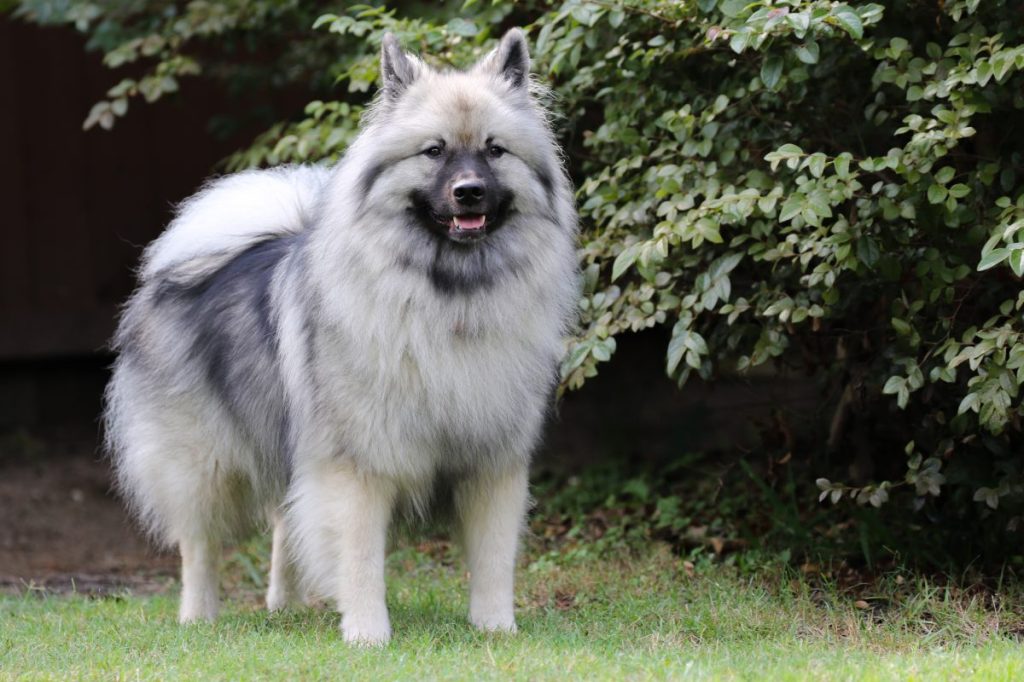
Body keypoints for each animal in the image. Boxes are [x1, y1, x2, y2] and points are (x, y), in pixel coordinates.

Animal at [109, 27, 585, 643]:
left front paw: (496, 628)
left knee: (284, 523)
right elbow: (359, 557)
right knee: (199, 543)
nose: (470, 191)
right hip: (203, 462)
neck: (449, 298)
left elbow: (495, 557)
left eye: (494, 150)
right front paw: (366, 634)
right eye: (434, 151)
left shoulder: (492, 462)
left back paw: (284, 605)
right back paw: (198, 617)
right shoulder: (358, 464)